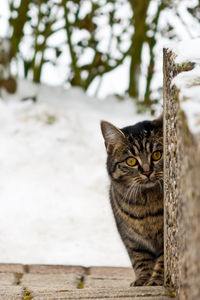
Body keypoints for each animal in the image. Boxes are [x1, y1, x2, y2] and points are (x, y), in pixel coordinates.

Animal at [101, 115, 163, 286]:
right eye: (131, 161)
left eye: (157, 155)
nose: (147, 171)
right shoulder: (131, 239)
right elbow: (140, 259)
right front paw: (143, 279)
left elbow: (162, 260)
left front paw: (156, 281)